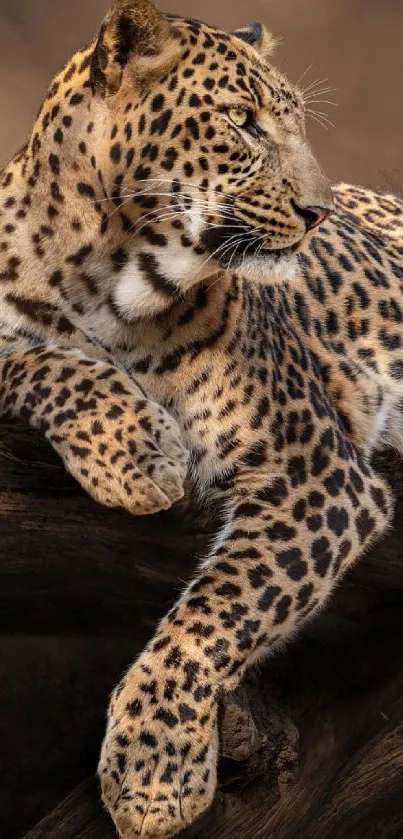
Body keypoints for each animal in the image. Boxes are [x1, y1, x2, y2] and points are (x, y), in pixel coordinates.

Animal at [0, 1, 403, 839]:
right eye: (241, 122)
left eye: (293, 121)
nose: (319, 213)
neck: (107, 277)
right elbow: (38, 358)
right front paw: (139, 451)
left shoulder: (317, 472)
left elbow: (215, 610)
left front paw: (153, 775)